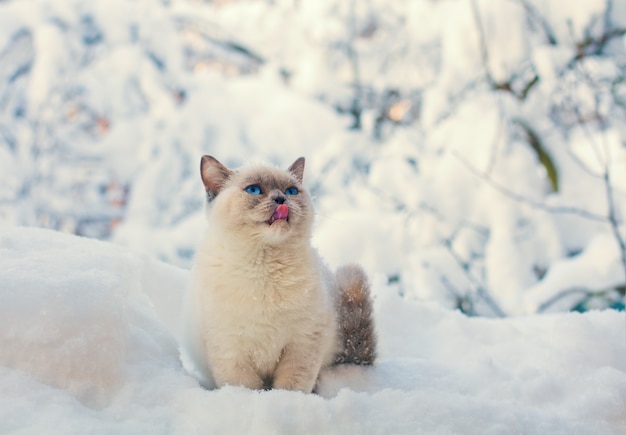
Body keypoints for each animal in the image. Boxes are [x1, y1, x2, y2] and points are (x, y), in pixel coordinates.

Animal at [180, 155, 376, 394]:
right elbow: (246, 389)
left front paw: (285, 401)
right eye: (254, 190)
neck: (265, 270)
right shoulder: (231, 351)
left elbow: (290, 389)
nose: (281, 199)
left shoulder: (302, 344)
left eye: (291, 191)